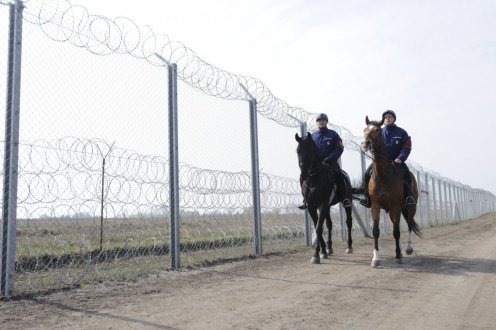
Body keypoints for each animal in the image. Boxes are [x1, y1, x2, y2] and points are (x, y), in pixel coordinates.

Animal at [294, 131, 352, 262]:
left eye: (310, 150)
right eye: (298, 150)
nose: (303, 174)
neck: (314, 180)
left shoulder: (323, 204)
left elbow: (319, 228)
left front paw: (316, 254)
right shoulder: (312, 207)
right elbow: (318, 226)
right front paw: (323, 251)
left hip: (347, 204)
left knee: (349, 222)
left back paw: (349, 247)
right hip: (328, 207)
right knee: (329, 224)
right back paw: (329, 248)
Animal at [362, 117, 420, 266]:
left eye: (377, 130)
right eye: (365, 130)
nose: (366, 143)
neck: (383, 176)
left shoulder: (396, 207)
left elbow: (396, 232)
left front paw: (398, 256)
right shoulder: (375, 206)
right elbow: (376, 231)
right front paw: (376, 259)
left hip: (411, 207)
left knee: (409, 224)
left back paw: (408, 249)